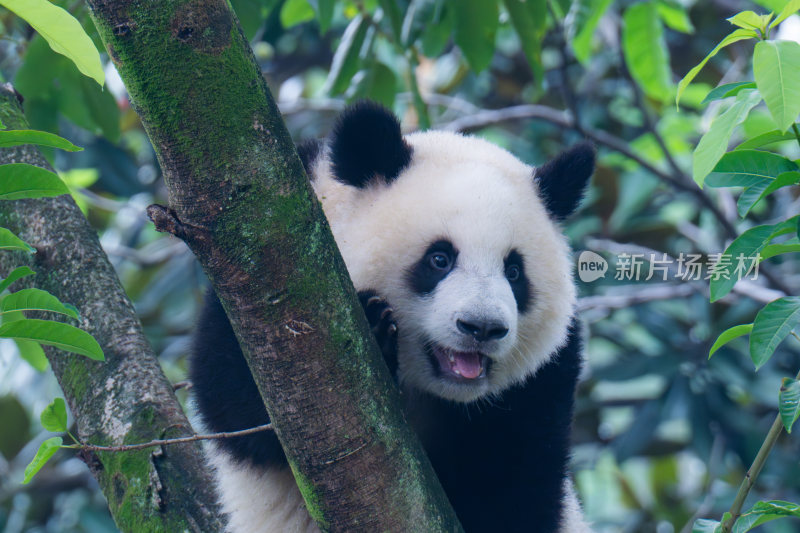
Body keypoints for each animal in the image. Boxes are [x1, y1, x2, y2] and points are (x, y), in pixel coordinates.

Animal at [191, 101, 592, 532]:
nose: (482, 327)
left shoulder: (541, 382)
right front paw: (375, 326)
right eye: (439, 259)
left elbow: (513, 490)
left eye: (514, 271)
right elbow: (240, 408)